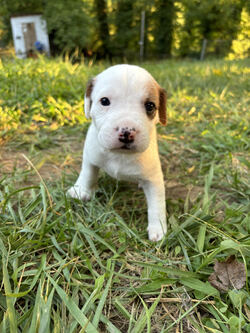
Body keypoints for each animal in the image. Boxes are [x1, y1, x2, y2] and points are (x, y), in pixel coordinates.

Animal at [67, 64, 167, 241]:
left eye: (150, 106)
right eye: (104, 101)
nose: (127, 132)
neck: (120, 155)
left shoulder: (154, 178)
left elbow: (157, 202)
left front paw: (158, 228)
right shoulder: (90, 155)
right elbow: (88, 173)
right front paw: (81, 190)